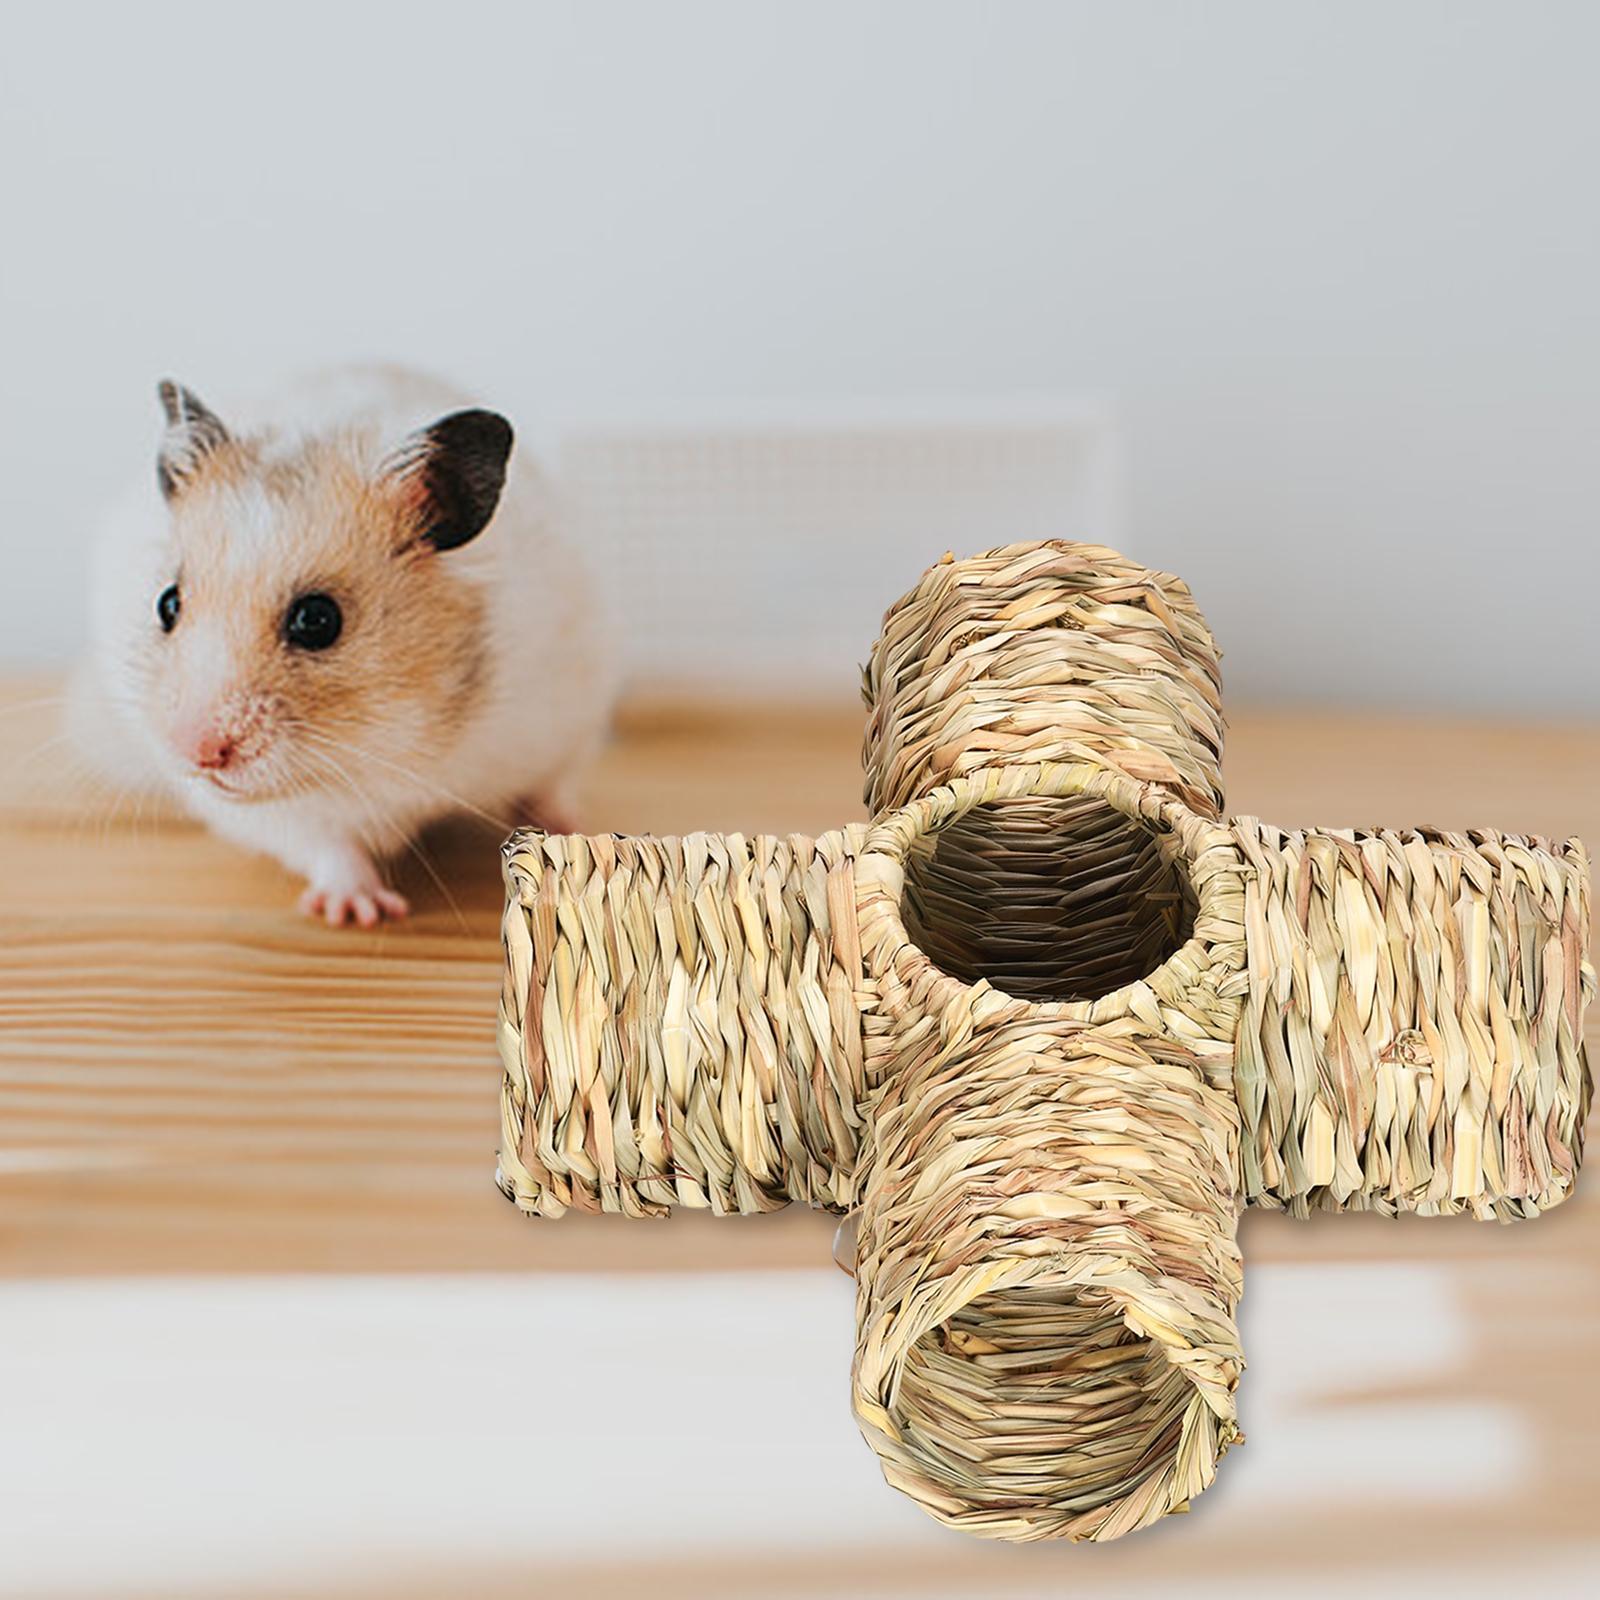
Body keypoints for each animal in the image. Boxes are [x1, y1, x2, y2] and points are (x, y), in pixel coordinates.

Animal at [73, 364, 615, 926]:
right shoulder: (272, 815)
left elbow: (553, 785)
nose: (194, 750)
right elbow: (328, 846)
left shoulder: (568, 712)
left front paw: (573, 834)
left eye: (317, 620)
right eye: (167, 603)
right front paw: (362, 911)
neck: (395, 737)